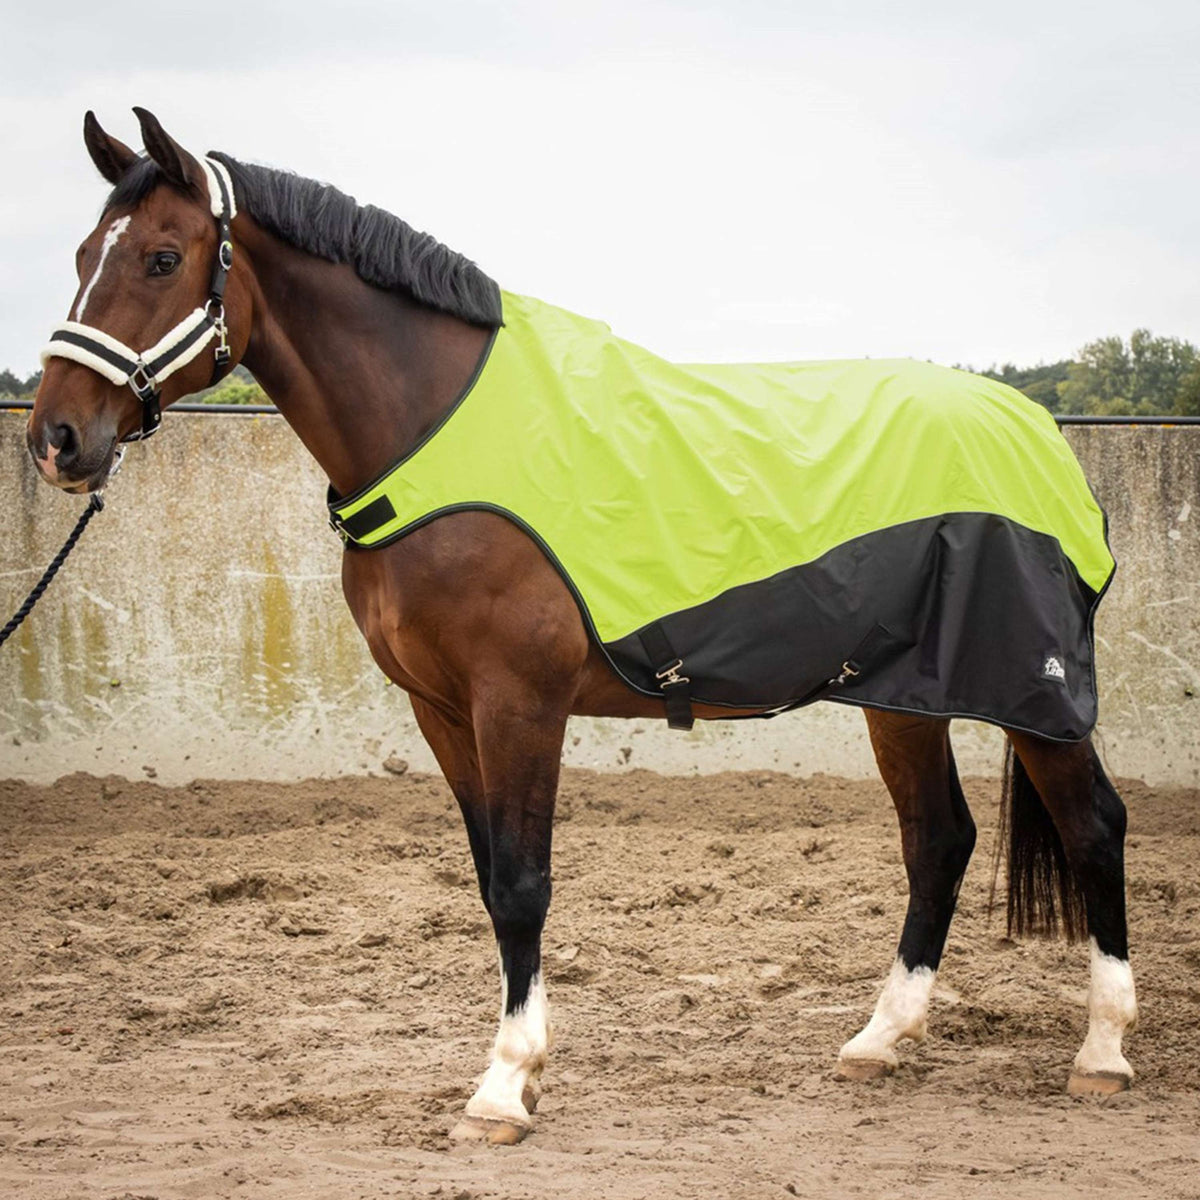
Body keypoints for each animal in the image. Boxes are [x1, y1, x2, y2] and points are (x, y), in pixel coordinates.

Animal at [26, 108, 1137, 1145]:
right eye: (81, 257)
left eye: (161, 258)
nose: (57, 440)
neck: (437, 431)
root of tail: (1039, 434)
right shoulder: (442, 712)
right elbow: (488, 882)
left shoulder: (520, 703)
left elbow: (524, 885)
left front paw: (503, 1087)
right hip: (902, 694)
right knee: (938, 839)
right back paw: (880, 1038)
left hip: (1034, 695)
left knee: (1092, 827)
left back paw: (1103, 1054)